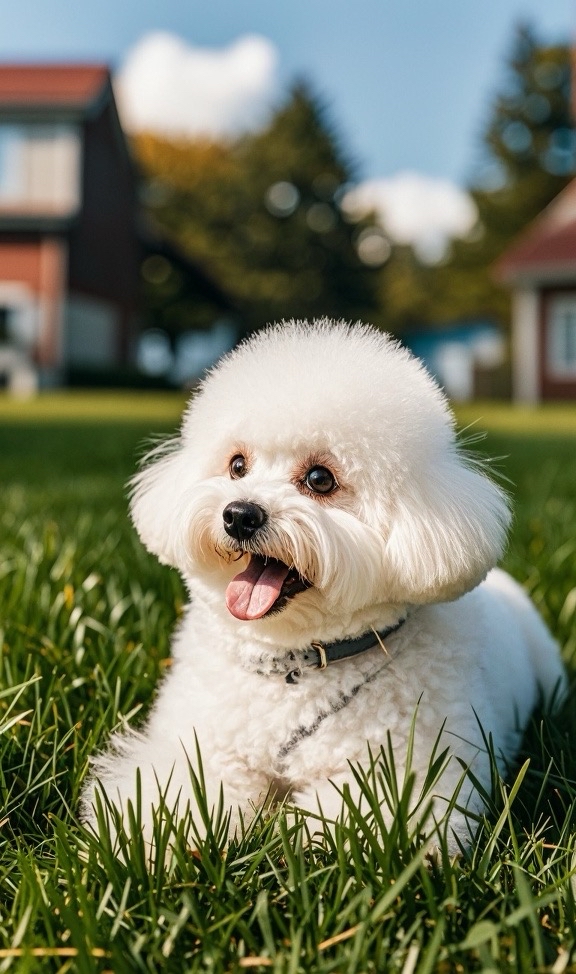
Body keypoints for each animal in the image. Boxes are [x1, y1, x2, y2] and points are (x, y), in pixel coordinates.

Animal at [81, 322, 568, 856]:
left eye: (319, 478)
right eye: (237, 465)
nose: (239, 514)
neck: (297, 667)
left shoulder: (410, 777)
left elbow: (351, 822)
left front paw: (278, 834)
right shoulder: (198, 745)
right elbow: (176, 796)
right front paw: (150, 844)